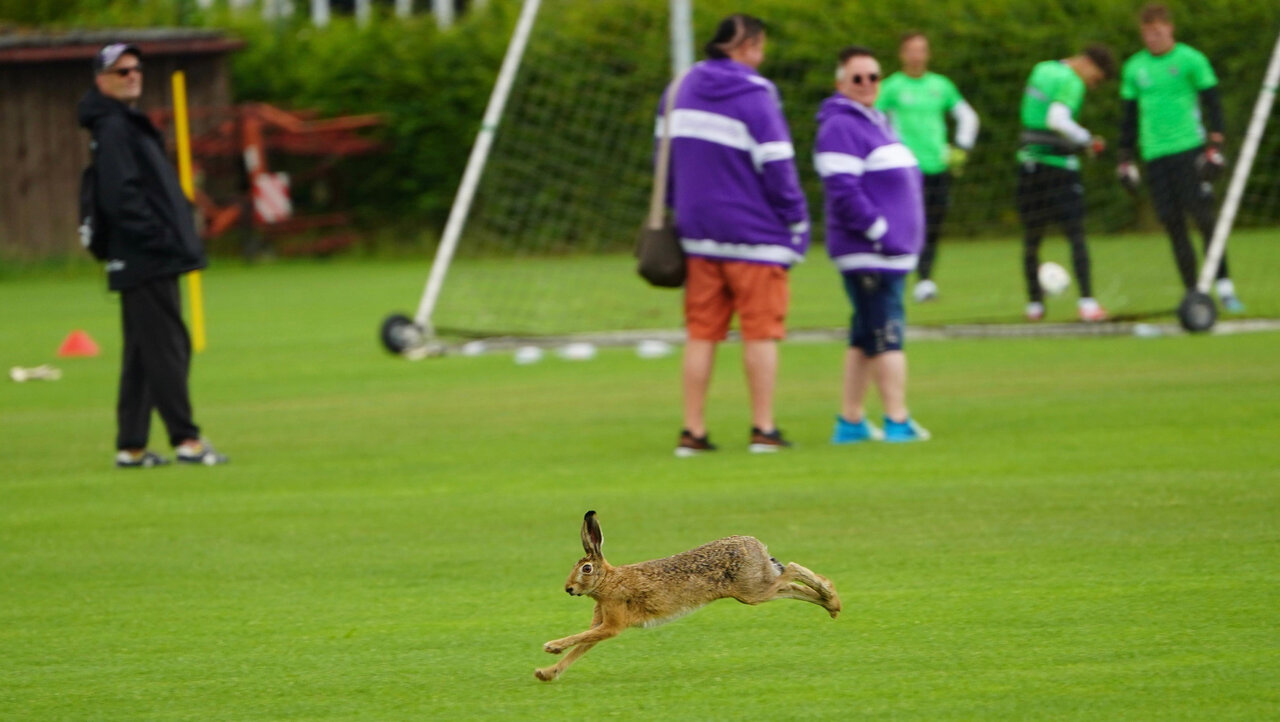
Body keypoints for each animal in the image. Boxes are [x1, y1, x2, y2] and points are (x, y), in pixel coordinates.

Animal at [534, 510, 840, 682]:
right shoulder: (601, 625)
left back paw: (830, 596)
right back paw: (832, 605)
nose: (569, 589)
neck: (609, 581)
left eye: (585, 569)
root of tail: (756, 546)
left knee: (793, 569)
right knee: (793, 586)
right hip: (757, 587)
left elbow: (581, 639)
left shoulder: (612, 624)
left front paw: (551, 646)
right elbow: (581, 647)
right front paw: (547, 673)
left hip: (753, 589)